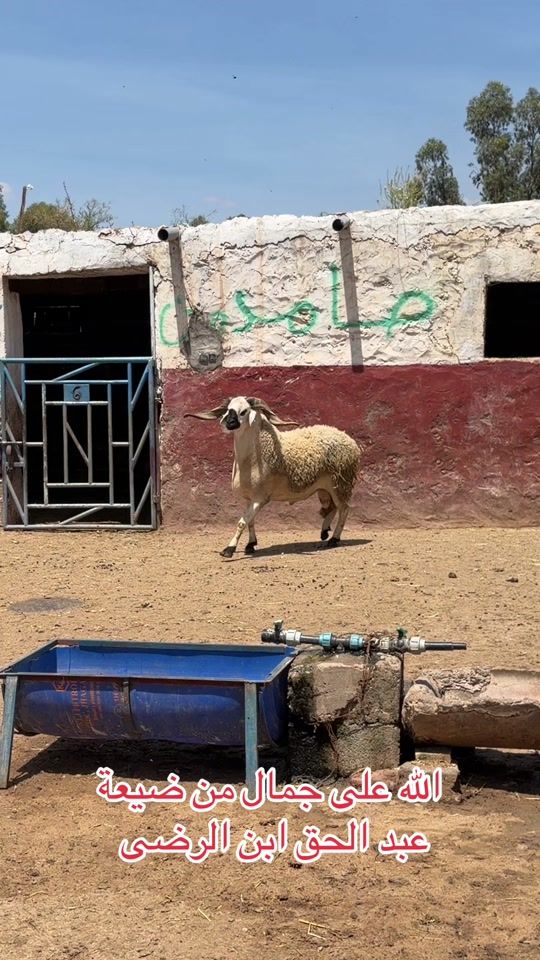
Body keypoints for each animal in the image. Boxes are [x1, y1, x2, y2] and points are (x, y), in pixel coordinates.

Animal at [184, 395, 364, 558]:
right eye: (229, 410)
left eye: (244, 411)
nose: (230, 423)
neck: (253, 457)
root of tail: (349, 439)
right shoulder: (249, 498)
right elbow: (250, 521)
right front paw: (250, 545)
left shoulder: (260, 497)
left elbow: (242, 522)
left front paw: (229, 549)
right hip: (325, 489)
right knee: (332, 507)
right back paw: (325, 531)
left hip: (341, 483)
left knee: (344, 509)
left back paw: (334, 539)